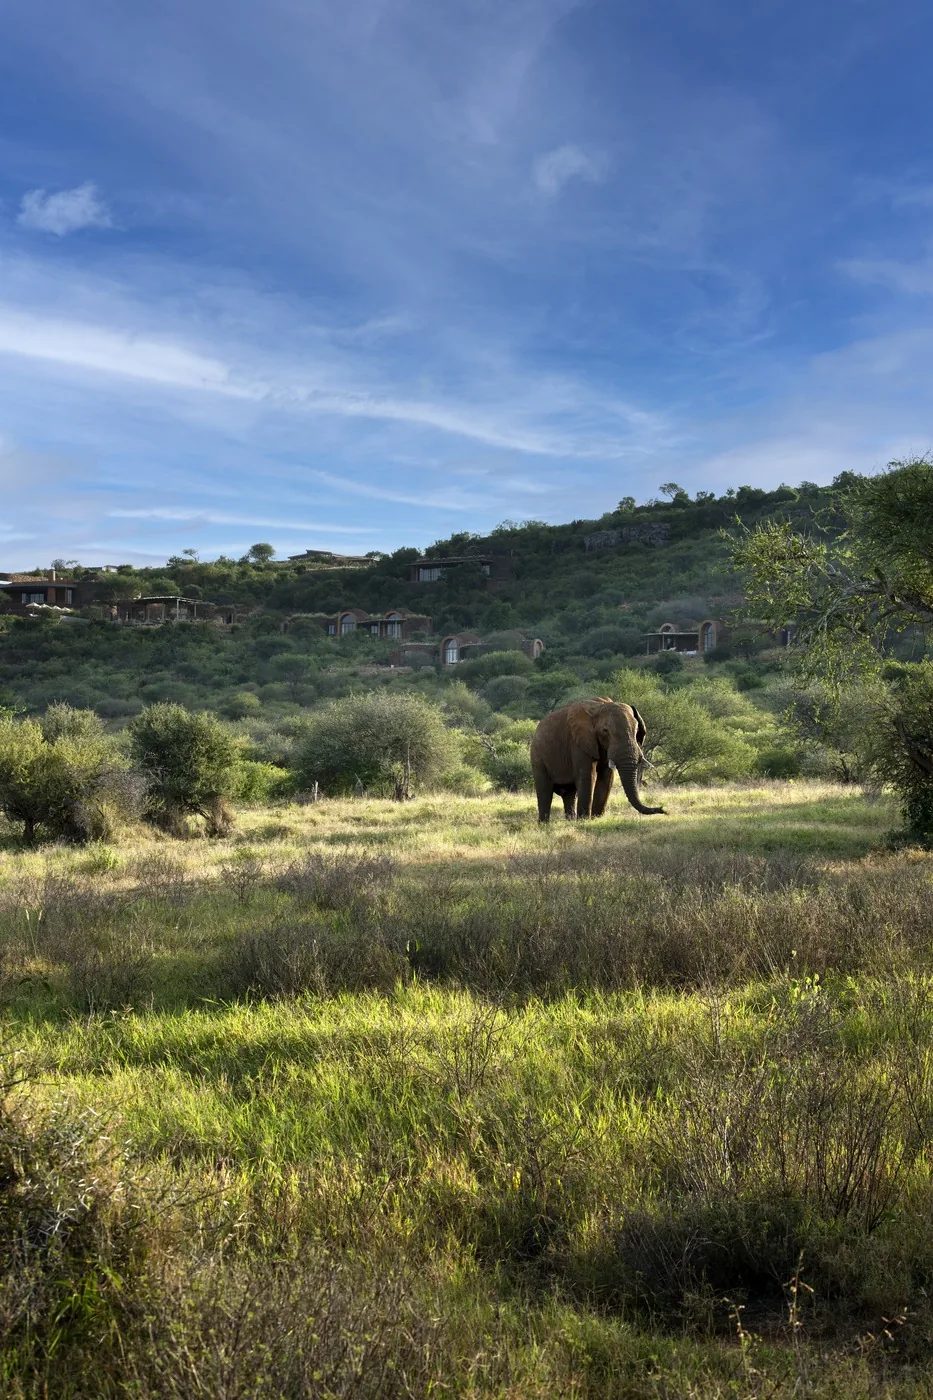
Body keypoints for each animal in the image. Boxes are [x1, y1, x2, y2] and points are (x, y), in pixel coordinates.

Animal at [530, 697, 665, 822]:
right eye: (605, 731)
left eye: (636, 731)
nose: (662, 809)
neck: (600, 706)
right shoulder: (579, 743)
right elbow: (588, 776)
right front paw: (584, 821)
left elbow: (607, 777)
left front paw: (596, 819)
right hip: (537, 757)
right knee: (545, 791)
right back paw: (544, 825)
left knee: (569, 794)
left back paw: (570, 821)